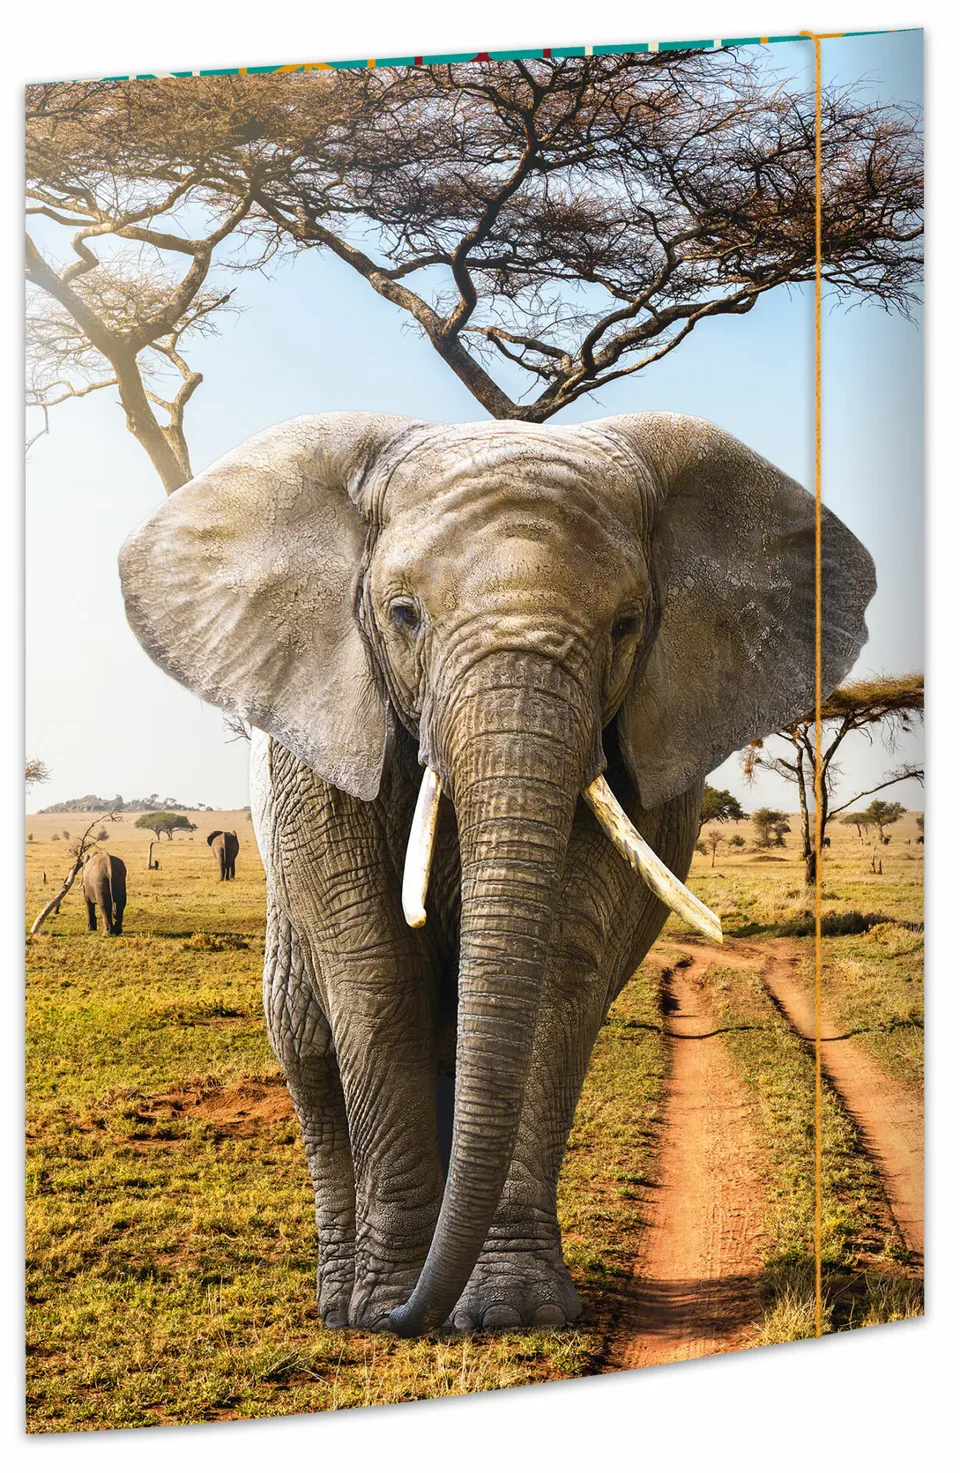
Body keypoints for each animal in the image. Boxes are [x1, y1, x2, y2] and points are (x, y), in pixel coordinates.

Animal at [118, 411, 875, 1336]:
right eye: (403, 614)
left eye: (628, 624)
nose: (408, 1315)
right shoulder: (317, 751)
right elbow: (375, 976)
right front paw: (385, 1308)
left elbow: (555, 975)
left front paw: (510, 1313)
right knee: (305, 1035)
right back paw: (342, 1301)